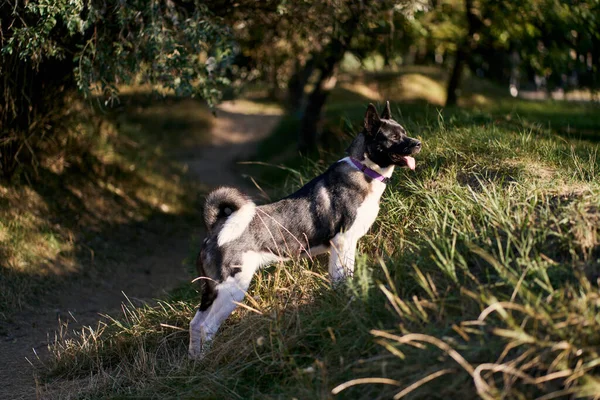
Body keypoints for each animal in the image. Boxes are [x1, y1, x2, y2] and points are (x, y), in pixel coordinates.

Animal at [189, 101, 422, 358]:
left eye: (404, 132)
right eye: (394, 137)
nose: (418, 143)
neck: (364, 170)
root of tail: (215, 228)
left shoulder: (343, 246)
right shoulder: (342, 242)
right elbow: (344, 277)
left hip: (211, 291)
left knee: (195, 325)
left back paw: (194, 362)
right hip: (232, 290)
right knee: (207, 327)